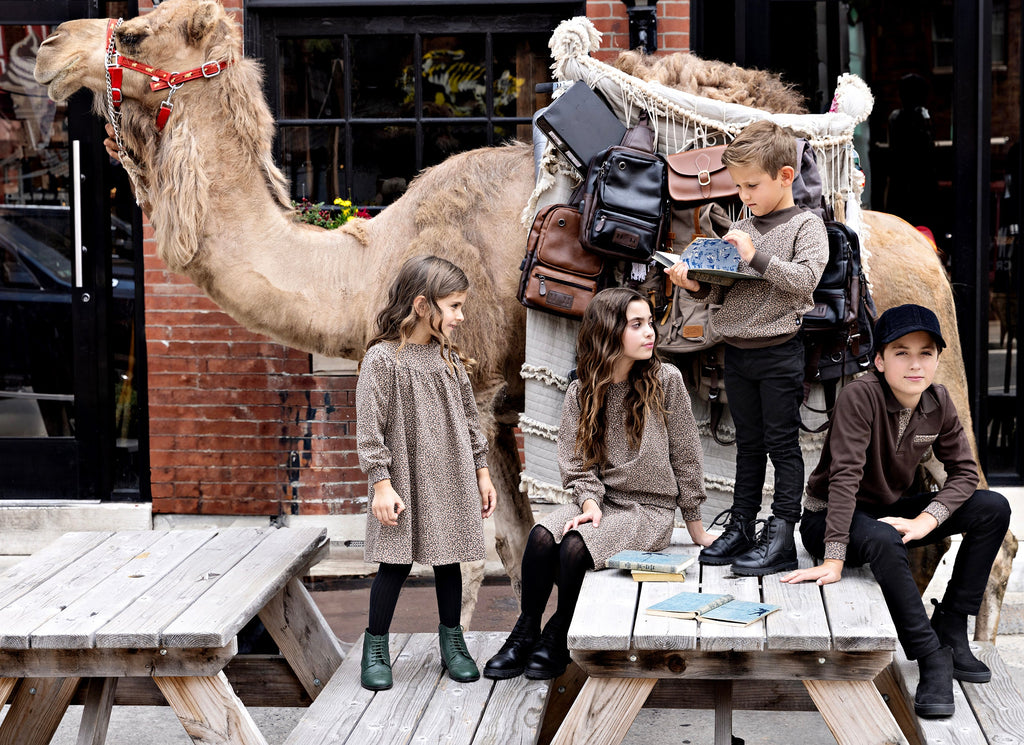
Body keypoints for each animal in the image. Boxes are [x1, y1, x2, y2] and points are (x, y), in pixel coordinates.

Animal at [34, 0, 1015, 638]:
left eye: (131, 30)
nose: (41, 48)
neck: (372, 265)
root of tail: (925, 248)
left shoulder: (467, 379)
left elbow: (466, 552)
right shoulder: (503, 402)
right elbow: (511, 543)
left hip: (935, 378)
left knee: (985, 522)